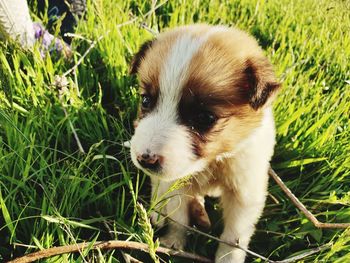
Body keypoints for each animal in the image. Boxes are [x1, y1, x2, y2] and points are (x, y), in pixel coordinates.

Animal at [130, 24, 280, 263]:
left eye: (204, 118)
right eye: (145, 100)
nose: (146, 159)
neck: (213, 162)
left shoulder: (245, 192)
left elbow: (234, 238)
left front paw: (228, 259)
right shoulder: (176, 184)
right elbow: (179, 219)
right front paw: (175, 243)